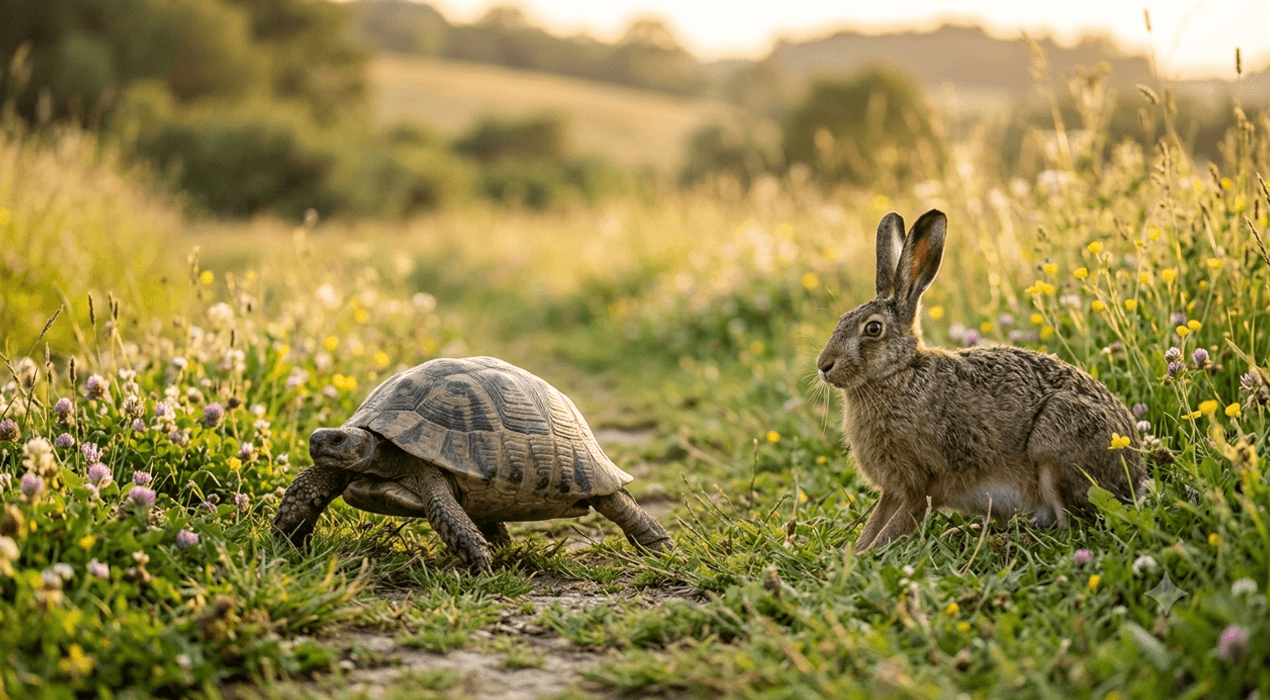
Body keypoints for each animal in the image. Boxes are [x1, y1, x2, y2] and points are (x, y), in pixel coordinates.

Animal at [816, 209, 1147, 553]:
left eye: (873, 329)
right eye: (841, 321)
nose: (823, 365)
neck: (898, 373)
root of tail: (1134, 469)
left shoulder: (922, 483)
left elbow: (895, 526)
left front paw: (866, 555)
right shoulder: (894, 490)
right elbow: (874, 524)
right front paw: (848, 554)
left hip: (1054, 444)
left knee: (1069, 526)